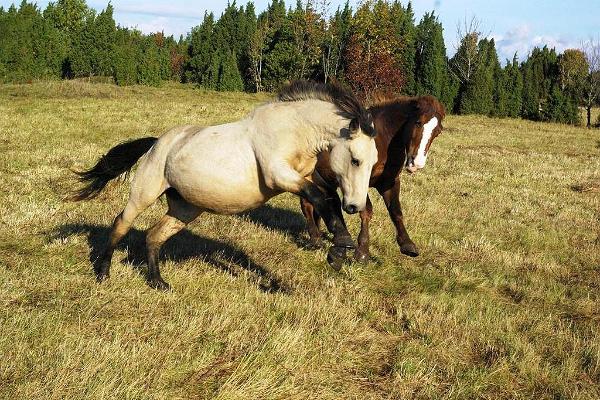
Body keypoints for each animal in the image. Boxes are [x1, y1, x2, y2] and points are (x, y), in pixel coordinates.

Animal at [72, 79, 378, 290]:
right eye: (355, 160)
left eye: (373, 162)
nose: (355, 206)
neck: (293, 130)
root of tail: (157, 143)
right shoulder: (279, 175)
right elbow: (319, 197)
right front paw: (341, 245)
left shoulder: (307, 175)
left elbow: (326, 198)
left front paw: (339, 250)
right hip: (143, 194)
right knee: (121, 224)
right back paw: (103, 273)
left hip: (185, 209)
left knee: (153, 236)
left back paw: (158, 282)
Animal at [302, 93, 442, 262]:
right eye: (418, 122)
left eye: (438, 132)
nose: (417, 163)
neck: (381, 140)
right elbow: (366, 210)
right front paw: (362, 251)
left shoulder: (389, 182)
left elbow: (396, 211)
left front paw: (407, 244)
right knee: (307, 205)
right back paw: (315, 239)